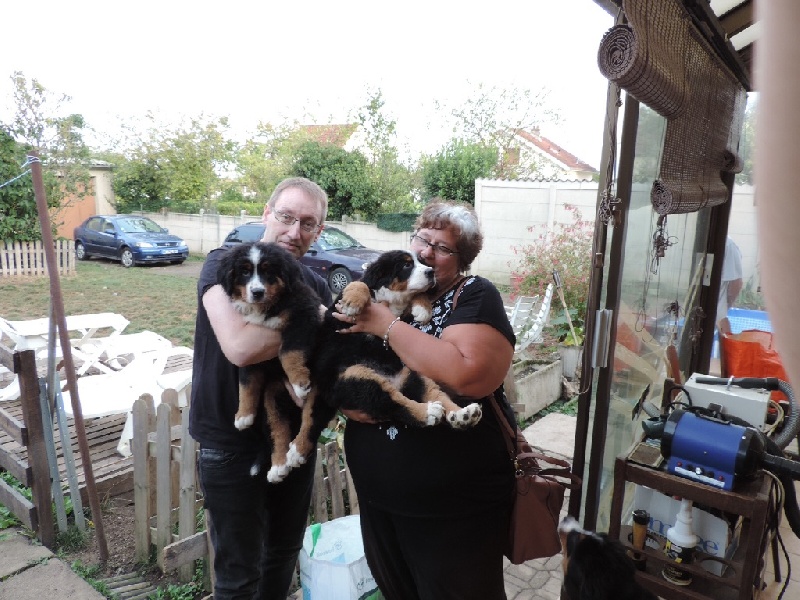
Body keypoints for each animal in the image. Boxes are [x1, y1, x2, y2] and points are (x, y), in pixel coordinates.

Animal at [217, 241, 323, 474]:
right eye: (245, 271)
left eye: (268, 271)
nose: (257, 292)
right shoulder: (252, 353)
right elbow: (247, 384)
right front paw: (243, 415)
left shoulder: (302, 318)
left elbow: (288, 352)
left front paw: (299, 381)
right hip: (273, 396)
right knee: (279, 429)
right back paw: (279, 467)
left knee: (309, 423)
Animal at [266, 249, 484, 483]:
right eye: (406, 265)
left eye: (422, 261)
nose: (431, 272)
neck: (391, 300)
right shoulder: (339, 314)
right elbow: (359, 284)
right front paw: (353, 302)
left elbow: (415, 295)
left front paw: (423, 308)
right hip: (356, 377)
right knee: (393, 403)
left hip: (409, 374)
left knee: (429, 396)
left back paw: (461, 415)